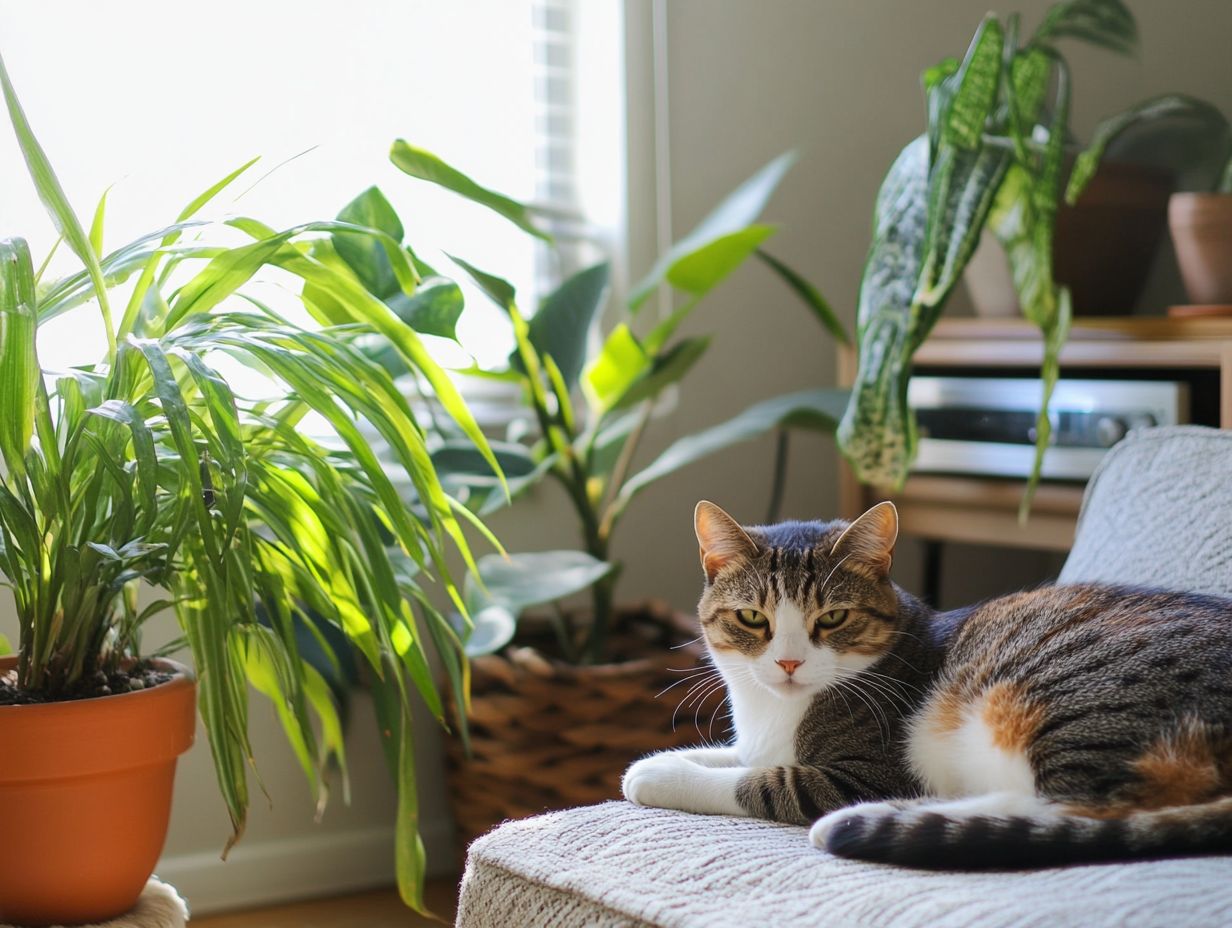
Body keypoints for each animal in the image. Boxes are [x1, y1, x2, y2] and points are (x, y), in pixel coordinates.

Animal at [620, 495, 1232, 867]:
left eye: (832, 618)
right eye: (753, 618)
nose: (788, 663)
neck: (777, 712)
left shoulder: (864, 771)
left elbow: (764, 780)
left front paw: (663, 776)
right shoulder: (755, 742)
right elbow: (732, 754)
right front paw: (656, 760)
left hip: (1070, 701)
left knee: (1084, 807)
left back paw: (886, 817)